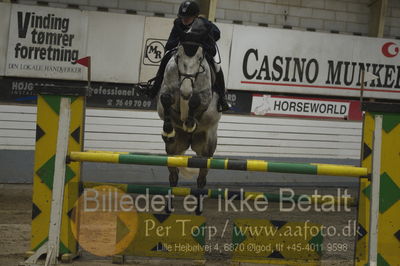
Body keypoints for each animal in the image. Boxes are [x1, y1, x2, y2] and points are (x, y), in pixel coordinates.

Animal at [156, 41, 220, 190]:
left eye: (199, 58)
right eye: (178, 56)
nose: (185, 91)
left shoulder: (206, 96)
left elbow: (195, 100)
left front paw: (190, 123)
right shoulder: (166, 91)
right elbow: (166, 100)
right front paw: (168, 130)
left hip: (207, 148)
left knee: (202, 175)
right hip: (174, 148)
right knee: (173, 174)